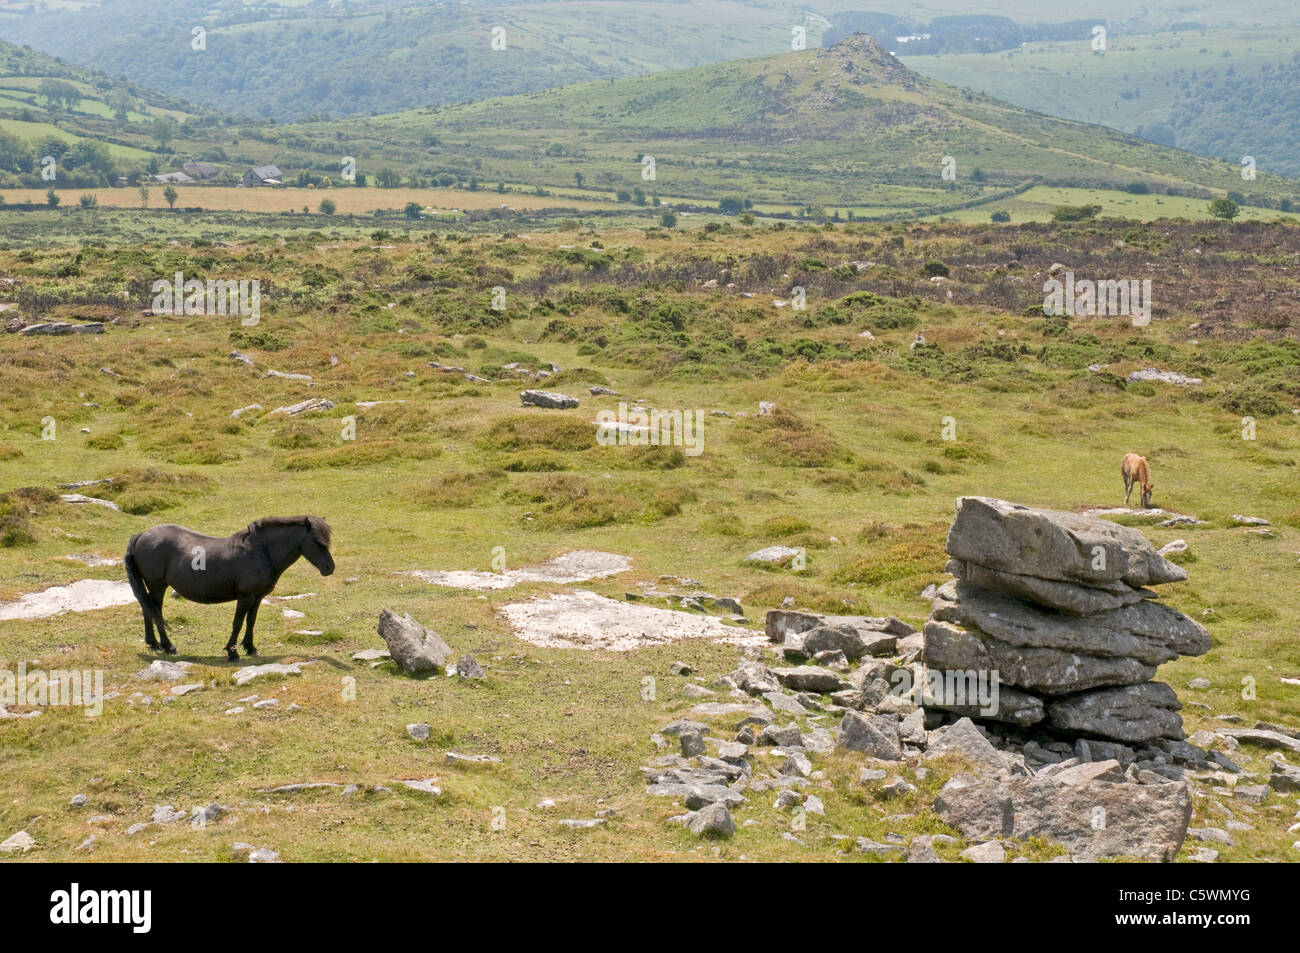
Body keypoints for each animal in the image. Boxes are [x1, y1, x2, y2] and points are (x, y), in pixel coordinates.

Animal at [125, 512, 335, 660]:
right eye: (317, 541)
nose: (329, 567)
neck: (261, 552)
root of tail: (141, 534)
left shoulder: (257, 597)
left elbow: (251, 621)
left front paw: (250, 647)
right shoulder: (245, 597)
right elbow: (237, 623)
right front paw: (232, 652)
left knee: (148, 609)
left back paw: (153, 644)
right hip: (157, 585)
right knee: (156, 612)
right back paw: (168, 646)